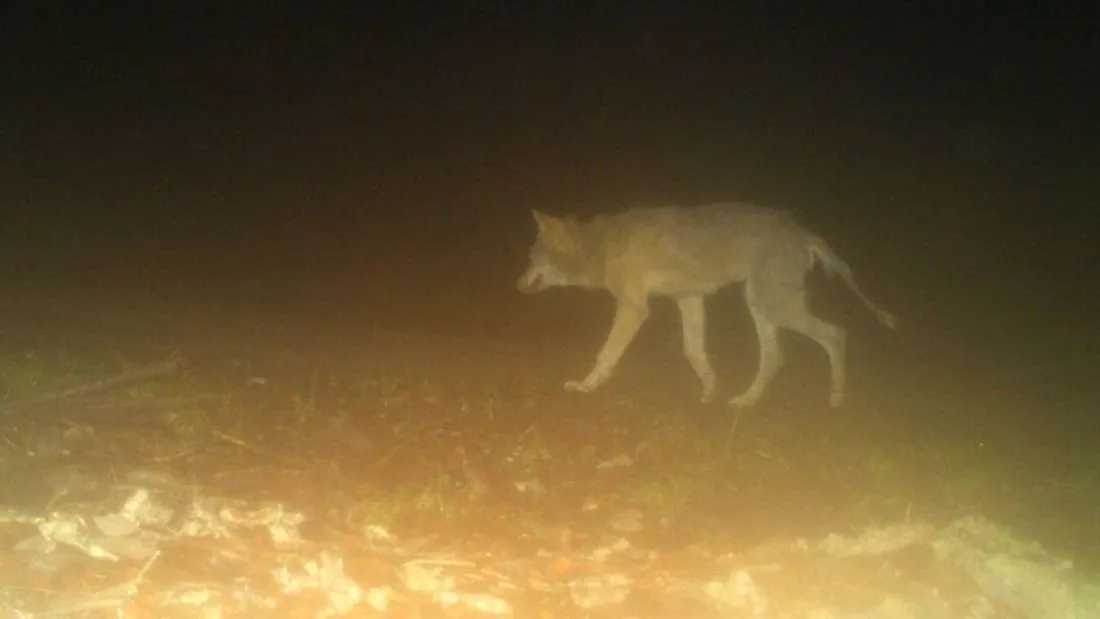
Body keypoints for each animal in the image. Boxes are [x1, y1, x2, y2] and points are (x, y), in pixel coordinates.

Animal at [517, 203, 898, 408]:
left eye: (532, 260)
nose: (516, 286)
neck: (603, 246)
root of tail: (804, 231)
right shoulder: (688, 298)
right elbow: (694, 350)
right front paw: (710, 388)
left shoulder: (635, 307)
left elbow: (606, 354)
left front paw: (586, 386)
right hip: (759, 303)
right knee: (775, 357)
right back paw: (745, 401)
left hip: (771, 305)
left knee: (836, 334)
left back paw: (836, 396)